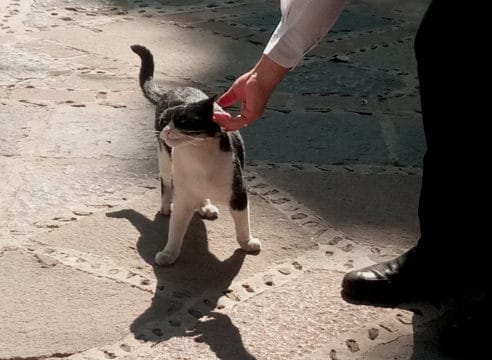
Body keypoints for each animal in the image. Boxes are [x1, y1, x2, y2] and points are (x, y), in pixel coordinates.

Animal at [131, 44, 262, 264]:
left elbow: (243, 224)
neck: (198, 156)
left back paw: (205, 206)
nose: (166, 130)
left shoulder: (238, 192)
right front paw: (169, 253)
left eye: (182, 122)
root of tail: (173, 89)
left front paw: (247, 243)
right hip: (165, 160)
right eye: (164, 121)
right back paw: (166, 206)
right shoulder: (183, 197)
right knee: (165, 183)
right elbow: (175, 230)